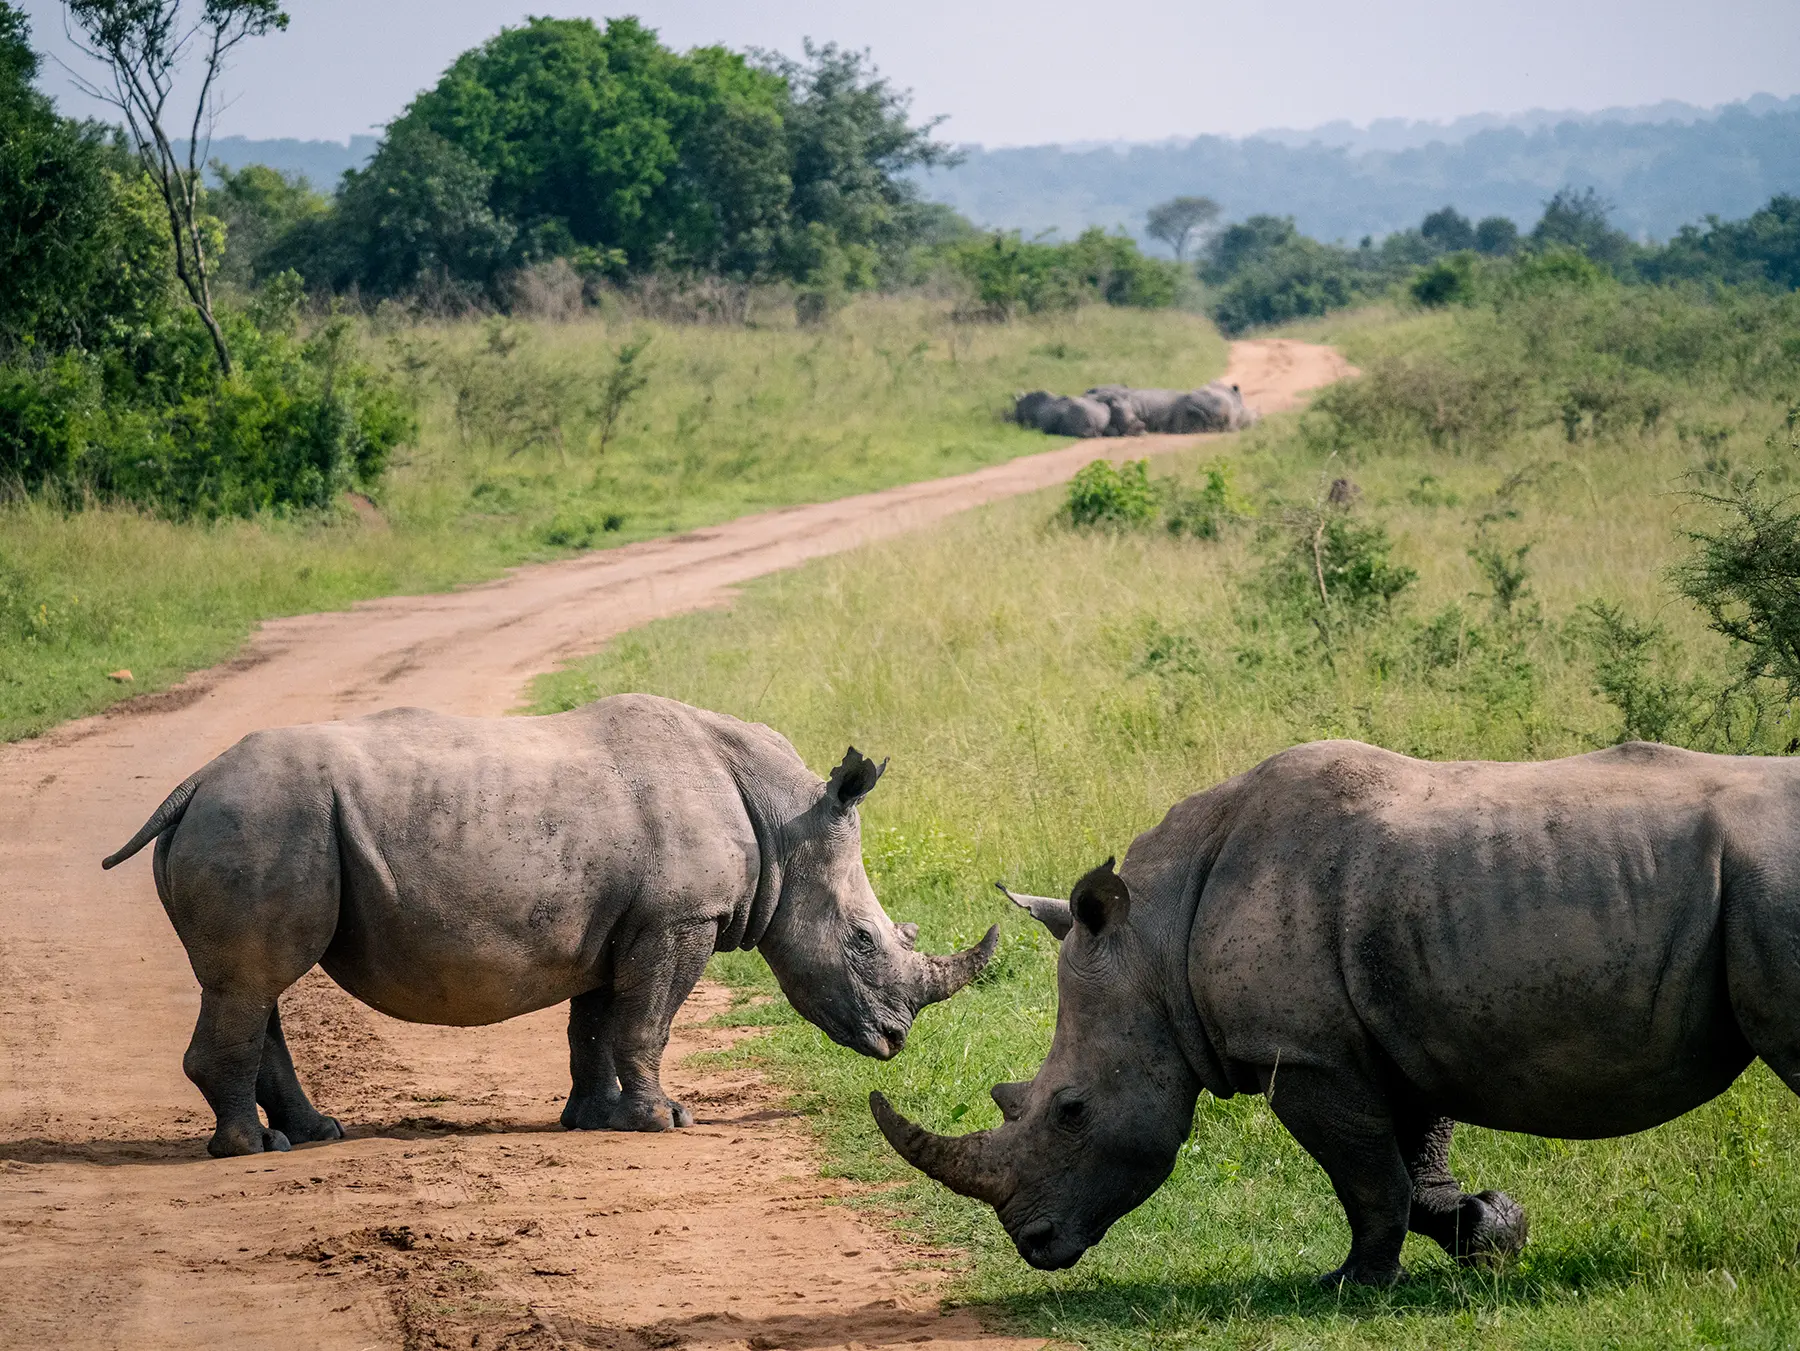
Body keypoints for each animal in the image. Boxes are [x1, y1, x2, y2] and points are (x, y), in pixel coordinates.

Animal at [103, 695, 996, 1158]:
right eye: (864, 941)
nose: (894, 1040)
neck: (782, 820)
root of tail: (191, 784)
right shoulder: (679, 917)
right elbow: (647, 1022)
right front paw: (664, 1122)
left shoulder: (625, 925)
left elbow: (597, 1025)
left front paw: (594, 1119)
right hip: (259, 819)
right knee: (254, 980)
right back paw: (251, 1149)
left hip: (261, 820)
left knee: (257, 986)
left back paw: (315, 1133)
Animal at [873, 739, 1800, 1286]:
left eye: (1070, 1111)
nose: (1033, 1246)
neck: (1157, 943)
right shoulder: (1401, 1025)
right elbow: (1416, 1161)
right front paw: (1492, 1230)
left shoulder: (1302, 1053)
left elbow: (1368, 1175)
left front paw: (1351, 1285)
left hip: (1773, 879)